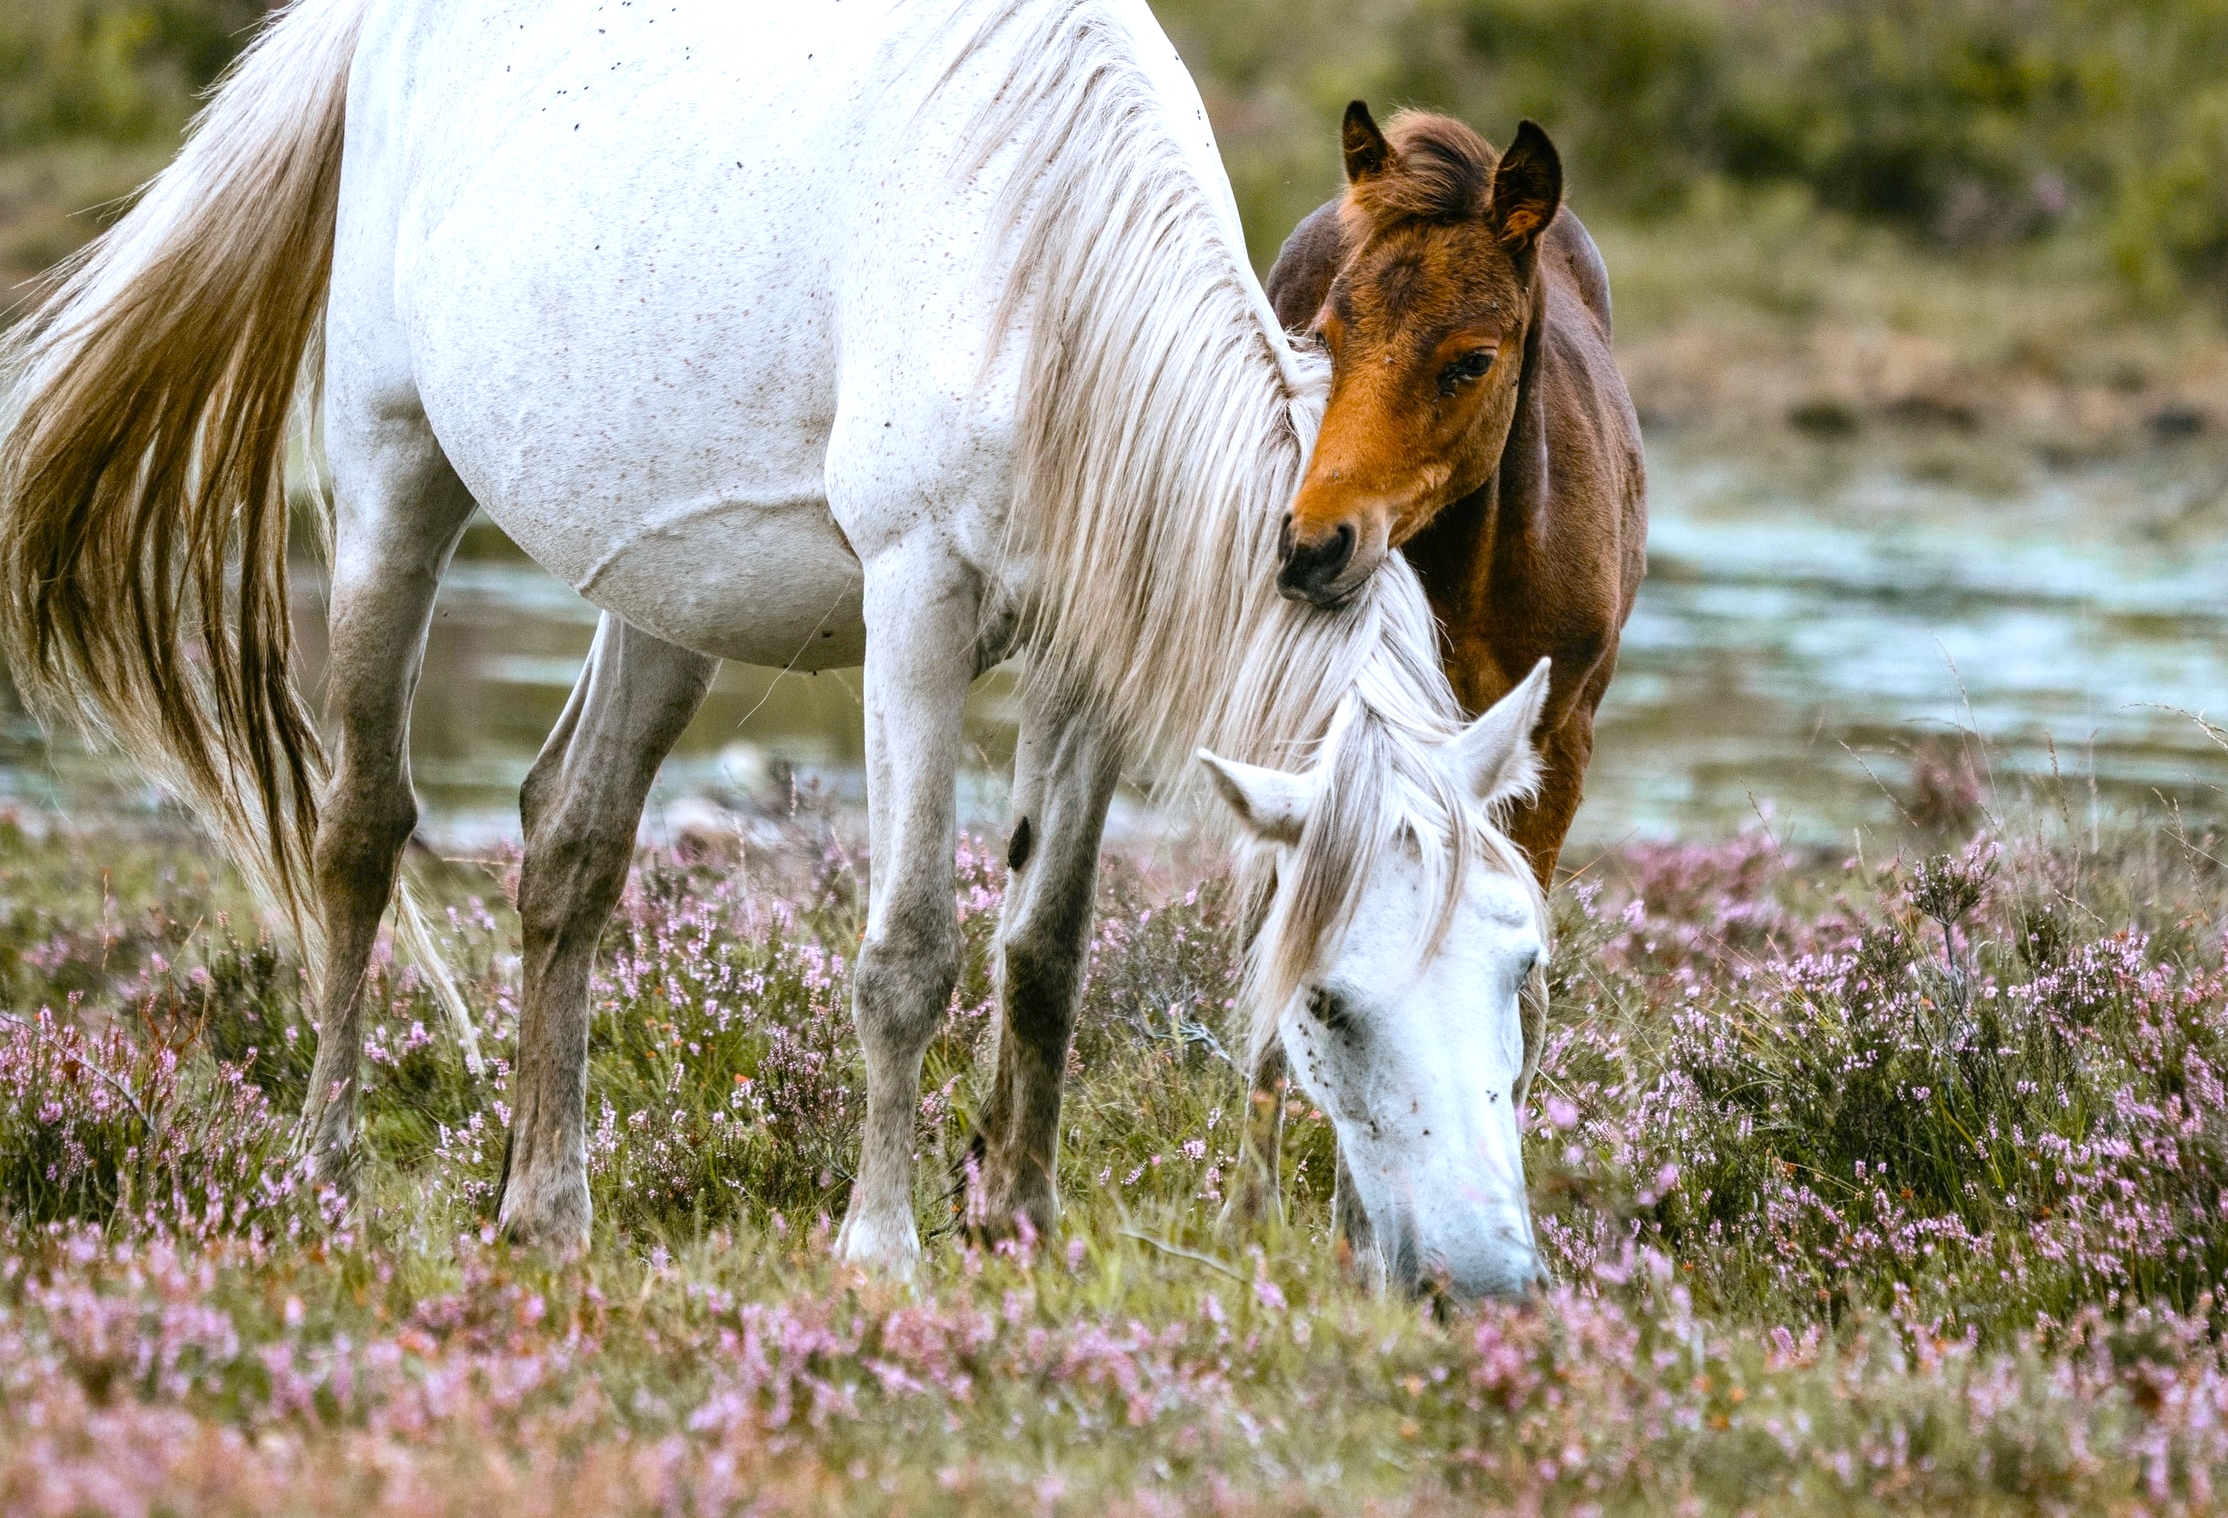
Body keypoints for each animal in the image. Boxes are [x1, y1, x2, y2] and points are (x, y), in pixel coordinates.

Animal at [0, 0, 1557, 1298]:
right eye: (1329, 1005)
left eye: (1520, 966)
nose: (1482, 1278)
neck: (1034, 270)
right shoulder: (917, 605)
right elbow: (909, 950)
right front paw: (882, 1245)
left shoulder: (1084, 662)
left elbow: (1044, 951)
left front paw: (1022, 1223)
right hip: (393, 482)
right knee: (359, 833)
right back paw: (322, 1174)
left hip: (661, 593)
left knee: (568, 843)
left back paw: (543, 1207)